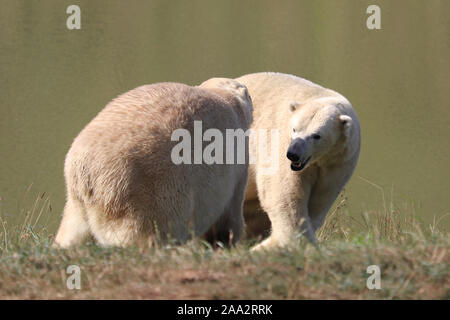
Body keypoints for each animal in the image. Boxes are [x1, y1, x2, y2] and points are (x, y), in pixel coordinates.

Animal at [54, 79, 251, 249]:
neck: (224, 96)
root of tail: (86, 175)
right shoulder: (236, 162)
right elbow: (230, 213)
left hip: (76, 199)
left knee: (73, 229)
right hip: (147, 194)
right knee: (145, 233)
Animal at [236, 72, 362, 250]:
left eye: (317, 135)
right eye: (294, 129)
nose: (293, 154)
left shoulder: (338, 164)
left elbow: (319, 200)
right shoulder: (280, 144)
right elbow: (285, 195)